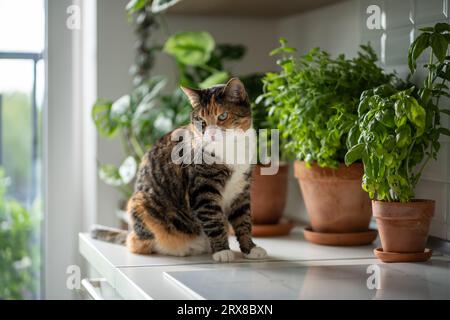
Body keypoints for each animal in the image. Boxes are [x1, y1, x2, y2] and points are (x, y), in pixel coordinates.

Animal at [91, 78, 268, 262]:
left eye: (223, 116)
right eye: (201, 120)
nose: (211, 134)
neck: (230, 149)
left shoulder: (241, 189)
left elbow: (243, 221)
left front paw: (250, 249)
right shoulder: (203, 189)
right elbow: (213, 219)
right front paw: (222, 251)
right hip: (139, 203)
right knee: (136, 244)